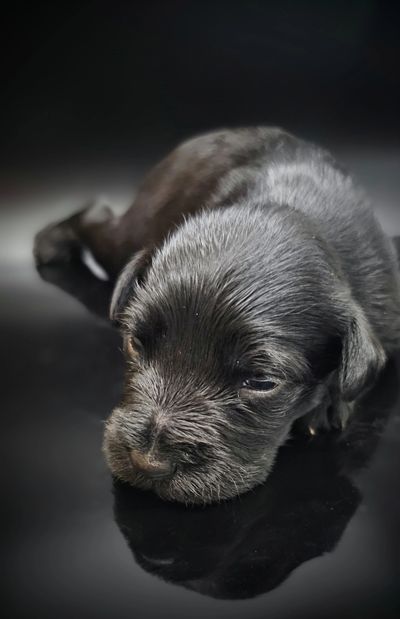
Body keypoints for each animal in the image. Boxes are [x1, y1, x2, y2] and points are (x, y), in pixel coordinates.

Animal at [33, 126, 400, 504]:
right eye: (136, 343)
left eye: (262, 382)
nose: (147, 462)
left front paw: (328, 403)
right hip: (134, 229)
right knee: (97, 218)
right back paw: (51, 241)